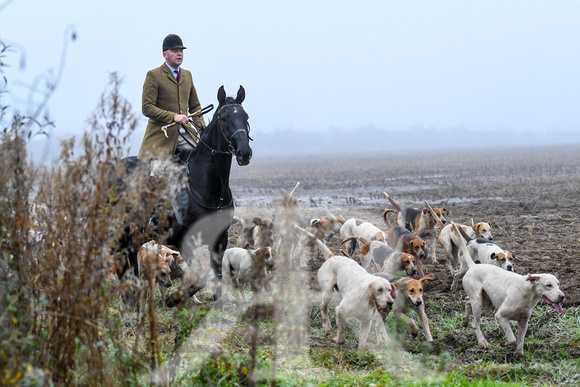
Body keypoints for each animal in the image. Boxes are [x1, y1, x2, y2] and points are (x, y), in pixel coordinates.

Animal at [117, 85, 251, 310]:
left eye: (245, 116)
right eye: (223, 118)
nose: (244, 153)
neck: (207, 188)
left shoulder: (220, 239)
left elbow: (216, 275)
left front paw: (218, 308)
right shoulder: (185, 241)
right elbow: (198, 278)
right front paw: (173, 298)